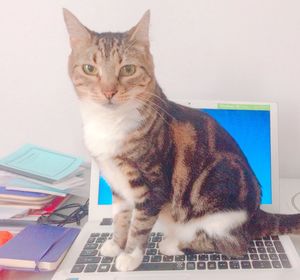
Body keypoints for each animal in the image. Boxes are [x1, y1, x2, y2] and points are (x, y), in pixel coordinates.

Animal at [62, 8, 298, 272]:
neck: (110, 123)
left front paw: (131, 256)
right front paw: (115, 244)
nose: (108, 91)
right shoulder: (118, 186)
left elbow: (140, 224)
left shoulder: (153, 184)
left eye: (128, 70)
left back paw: (173, 244)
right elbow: (120, 218)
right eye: (89, 68)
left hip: (220, 208)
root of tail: (257, 214)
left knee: (232, 246)